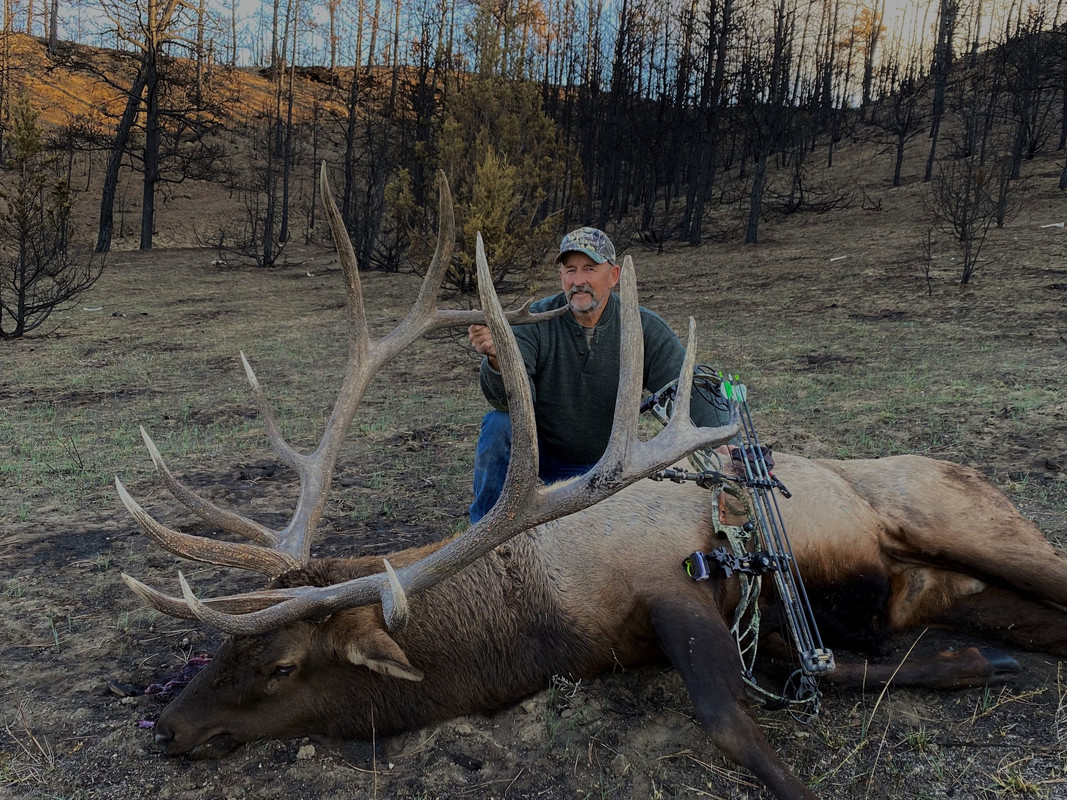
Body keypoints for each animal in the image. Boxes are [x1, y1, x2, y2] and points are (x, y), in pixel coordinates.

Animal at [117, 167, 1067, 800]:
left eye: (279, 664)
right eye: (223, 651)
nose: (170, 727)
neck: (539, 622)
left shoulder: (673, 581)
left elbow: (733, 721)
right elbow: (820, 672)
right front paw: (971, 662)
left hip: (967, 522)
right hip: (959, 583)